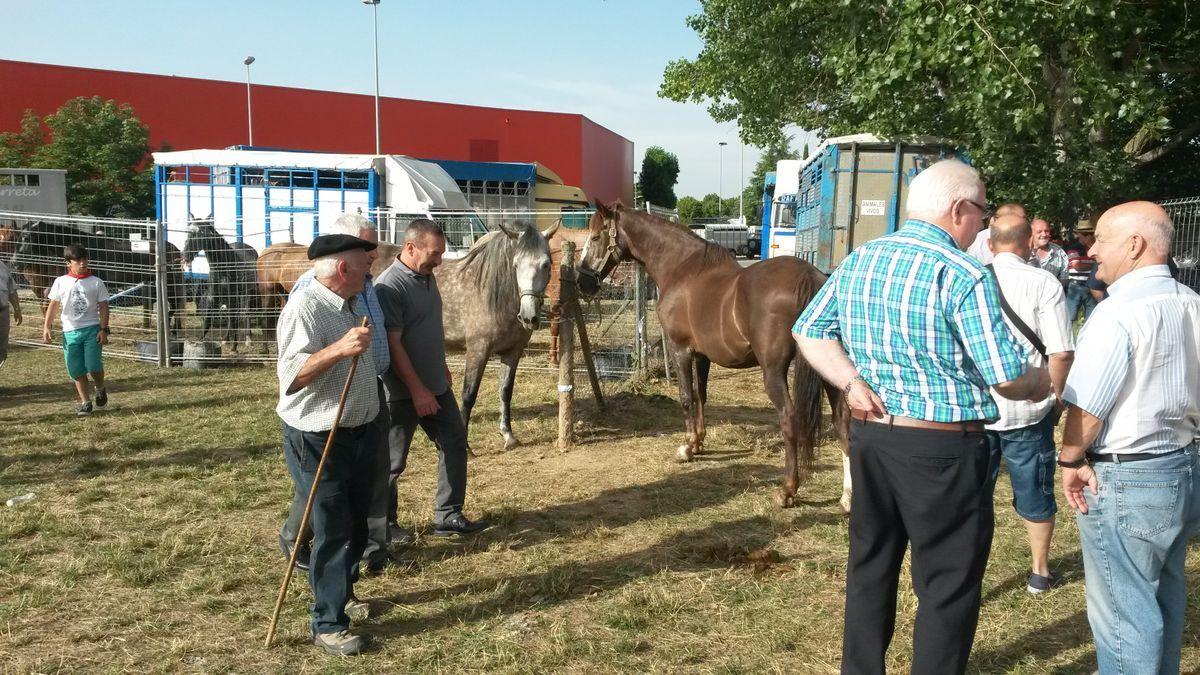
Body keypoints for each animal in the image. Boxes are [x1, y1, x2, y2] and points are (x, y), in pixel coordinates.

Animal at [439, 219, 554, 446]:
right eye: (515, 265)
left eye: (546, 264)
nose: (528, 317)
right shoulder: (477, 351)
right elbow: (469, 395)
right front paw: (465, 445)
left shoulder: (513, 352)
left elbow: (505, 391)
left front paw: (508, 434)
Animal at [573, 201, 849, 506]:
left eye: (595, 237)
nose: (582, 282)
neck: (682, 269)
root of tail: (809, 277)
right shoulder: (702, 355)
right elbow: (700, 395)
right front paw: (699, 442)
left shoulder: (680, 349)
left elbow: (685, 397)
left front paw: (686, 448)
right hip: (829, 371)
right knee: (842, 420)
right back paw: (848, 496)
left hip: (773, 372)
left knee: (789, 418)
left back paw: (788, 489)